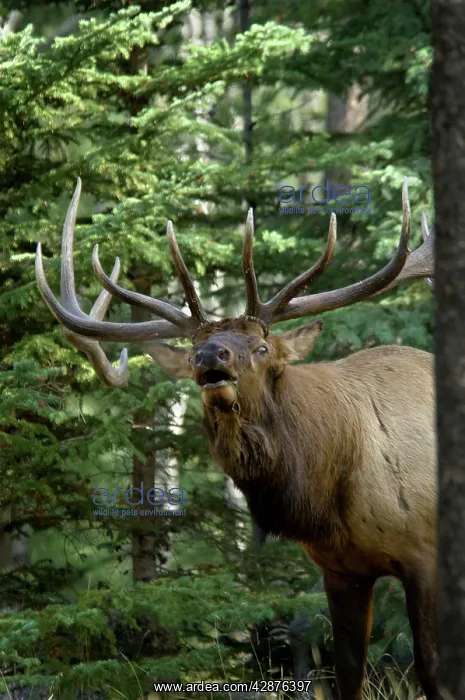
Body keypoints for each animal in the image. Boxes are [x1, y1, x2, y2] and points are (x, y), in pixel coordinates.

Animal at [35, 177, 436, 700]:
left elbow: (432, 671)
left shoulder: (425, 555)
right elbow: (349, 674)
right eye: (190, 354)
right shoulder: (340, 569)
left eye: (262, 347)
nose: (211, 355)